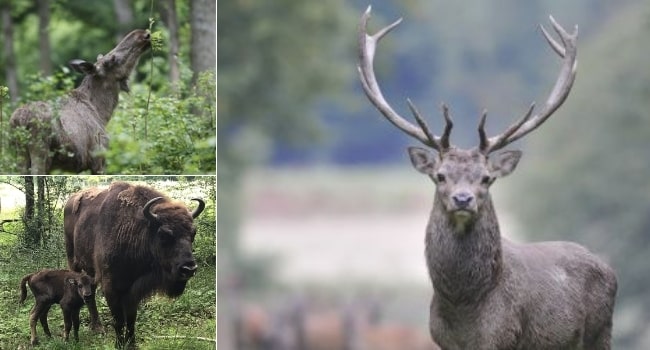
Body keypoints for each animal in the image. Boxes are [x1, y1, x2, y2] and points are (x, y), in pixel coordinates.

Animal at [9, 29, 151, 174]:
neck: (103, 113)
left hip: (20, 155)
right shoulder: (99, 159)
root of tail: (20, 121)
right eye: (112, 60)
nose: (143, 34)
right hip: (40, 152)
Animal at [62, 180, 205, 348]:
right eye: (164, 234)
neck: (137, 230)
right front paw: (119, 344)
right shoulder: (111, 288)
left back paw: (97, 327)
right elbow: (118, 320)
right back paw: (97, 328)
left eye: (193, 233)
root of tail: (70, 201)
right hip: (74, 262)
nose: (188, 268)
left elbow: (131, 319)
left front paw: (132, 344)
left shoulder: (133, 290)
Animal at [356, 6, 616, 348]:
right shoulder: (440, 339)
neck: (463, 307)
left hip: (601, 332)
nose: (462, 199)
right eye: (440, 175)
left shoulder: (504, 337)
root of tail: (610, 270)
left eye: (486, 178)